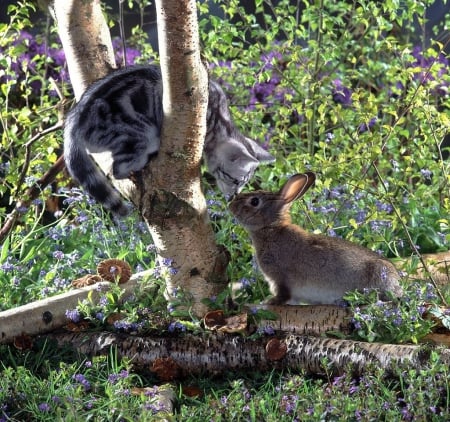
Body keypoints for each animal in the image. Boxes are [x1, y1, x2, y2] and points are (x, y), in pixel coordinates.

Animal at [64, 64, 274, 216]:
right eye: (235, 180)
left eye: (243, 183)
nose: (233, 197)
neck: (218, 120)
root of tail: (74, 120)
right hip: (142, 132)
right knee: (119, 169)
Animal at [230, 173, 402, 304]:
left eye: (254, 201)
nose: (231, 205)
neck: (271, 228)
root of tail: (397, 285)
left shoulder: (281, 278)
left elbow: (283, 294)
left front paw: (270, 302)